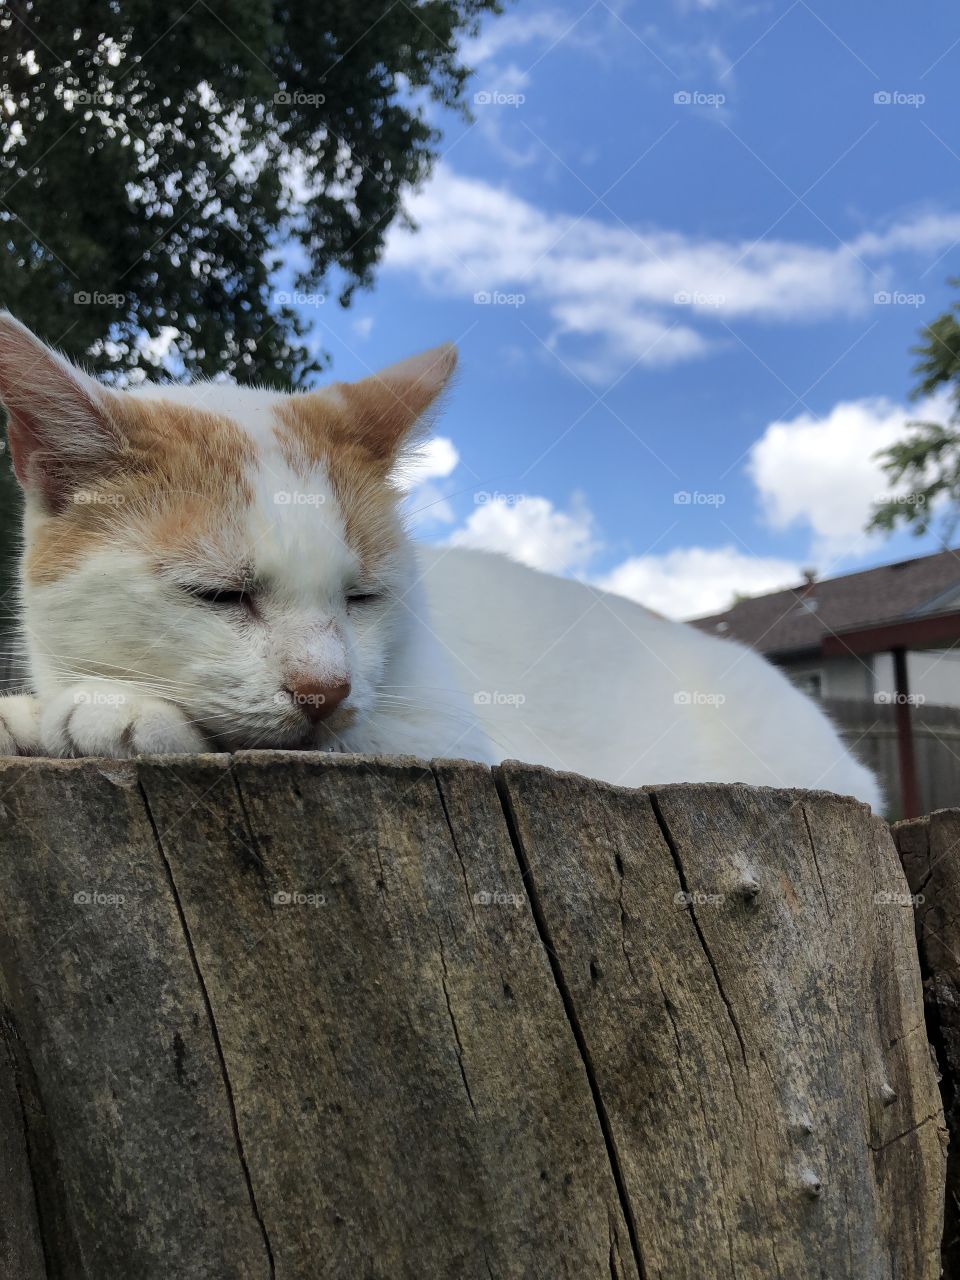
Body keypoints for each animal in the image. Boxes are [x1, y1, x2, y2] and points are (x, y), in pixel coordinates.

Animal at [0, 309, 885, 803]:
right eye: (218, 594)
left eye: (362, 598)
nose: (324, 690)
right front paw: (34, 713)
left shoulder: (450, 737)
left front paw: (108, 711)